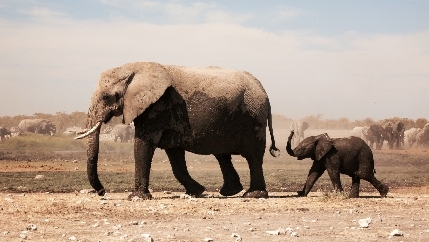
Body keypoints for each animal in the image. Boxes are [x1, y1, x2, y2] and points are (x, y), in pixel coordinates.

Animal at [75, 61, 280, 199]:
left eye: (107, 96)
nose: (102, 192)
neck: (136, 67)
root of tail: (263, 89)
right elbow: (175, 156)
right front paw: (196, 192)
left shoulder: (157, 107)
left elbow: (143, 144)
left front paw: (136, 198)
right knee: (222, 154)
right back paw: (230, 192)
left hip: (253, 117)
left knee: (253, 156)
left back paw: (253, 195)